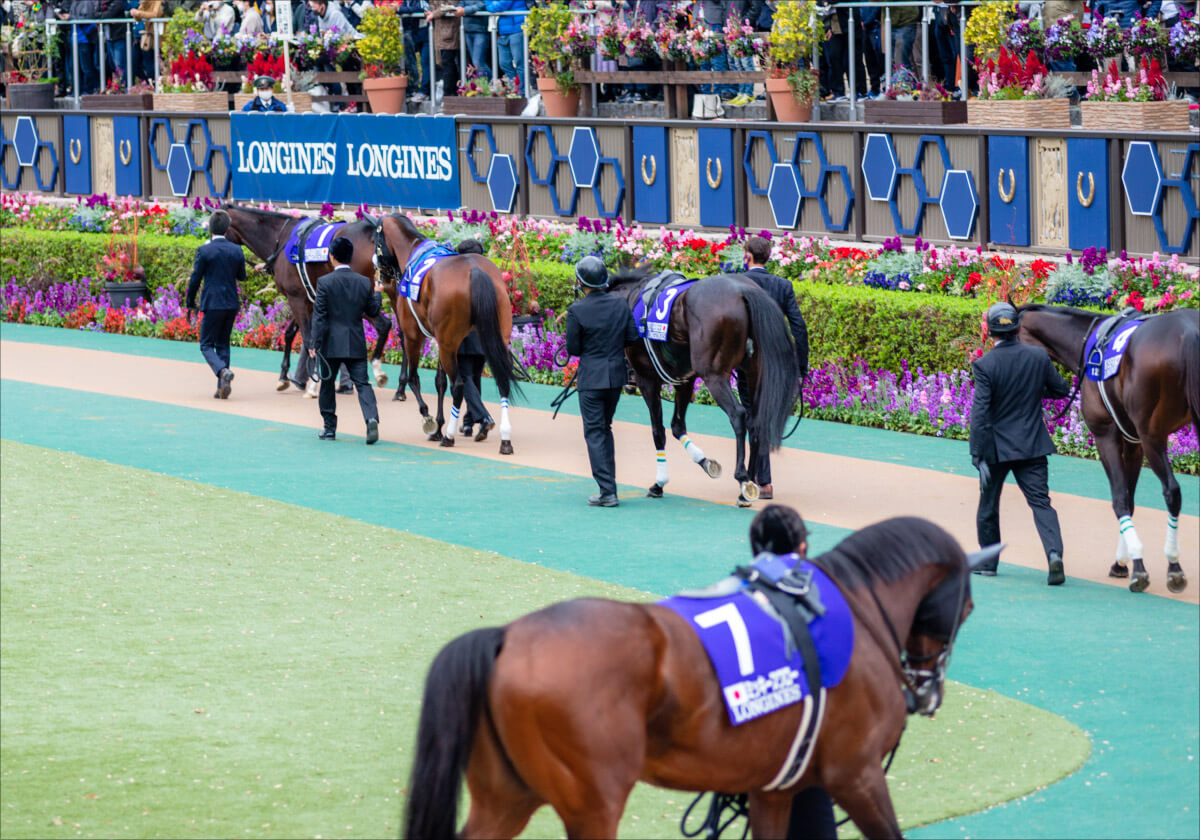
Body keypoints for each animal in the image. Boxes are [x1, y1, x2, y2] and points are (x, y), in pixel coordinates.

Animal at [223, 206, 391, 396]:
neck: (281, 238)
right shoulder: (306, 299)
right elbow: (291, 334)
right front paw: (284, 377)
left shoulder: (296, 298)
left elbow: (308, 338)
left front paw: (312, 382)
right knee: (387, 325)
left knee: (383, 324)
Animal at [374, 213, 520, 456]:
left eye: (375, 240)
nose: (379, 272)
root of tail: (474, 270)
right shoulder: (440, 339)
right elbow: (439, 381)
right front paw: (438, 426)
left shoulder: (414, 335)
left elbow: (415, 379)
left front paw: (429, 420)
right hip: (494, 337)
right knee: (502, 381)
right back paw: (505, 439)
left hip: (448, 343)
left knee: (459, 386)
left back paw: (449, 437)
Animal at [403, 516, 984, 835]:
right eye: (970, 607)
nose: (927, 690)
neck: (854, 608)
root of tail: (506, 637)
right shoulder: (856, 775)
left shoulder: (772, 789)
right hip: (591, 805)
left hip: (508, 796)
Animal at [614, 272, 801, 506]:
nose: (628, 383)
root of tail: (743, 290)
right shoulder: (685, 379)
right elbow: (677, 426)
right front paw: (706, 462)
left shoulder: (647, 379)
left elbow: (658, 431)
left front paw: (659, 483)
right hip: (754, 371)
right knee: (756, 420)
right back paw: (748, 485)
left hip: (714, 375)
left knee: (738, 415)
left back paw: (743, 478)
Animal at [1012, 304, 1200, 592]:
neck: (1088, 345)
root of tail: (1188, 329)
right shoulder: (1132, 443)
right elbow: (1129, 500)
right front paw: (1122, 562)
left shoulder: (1106, 436)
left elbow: (1120, 499)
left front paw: (1138, 567)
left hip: (1152, 435)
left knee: (1172, 491)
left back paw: (1174, 565)